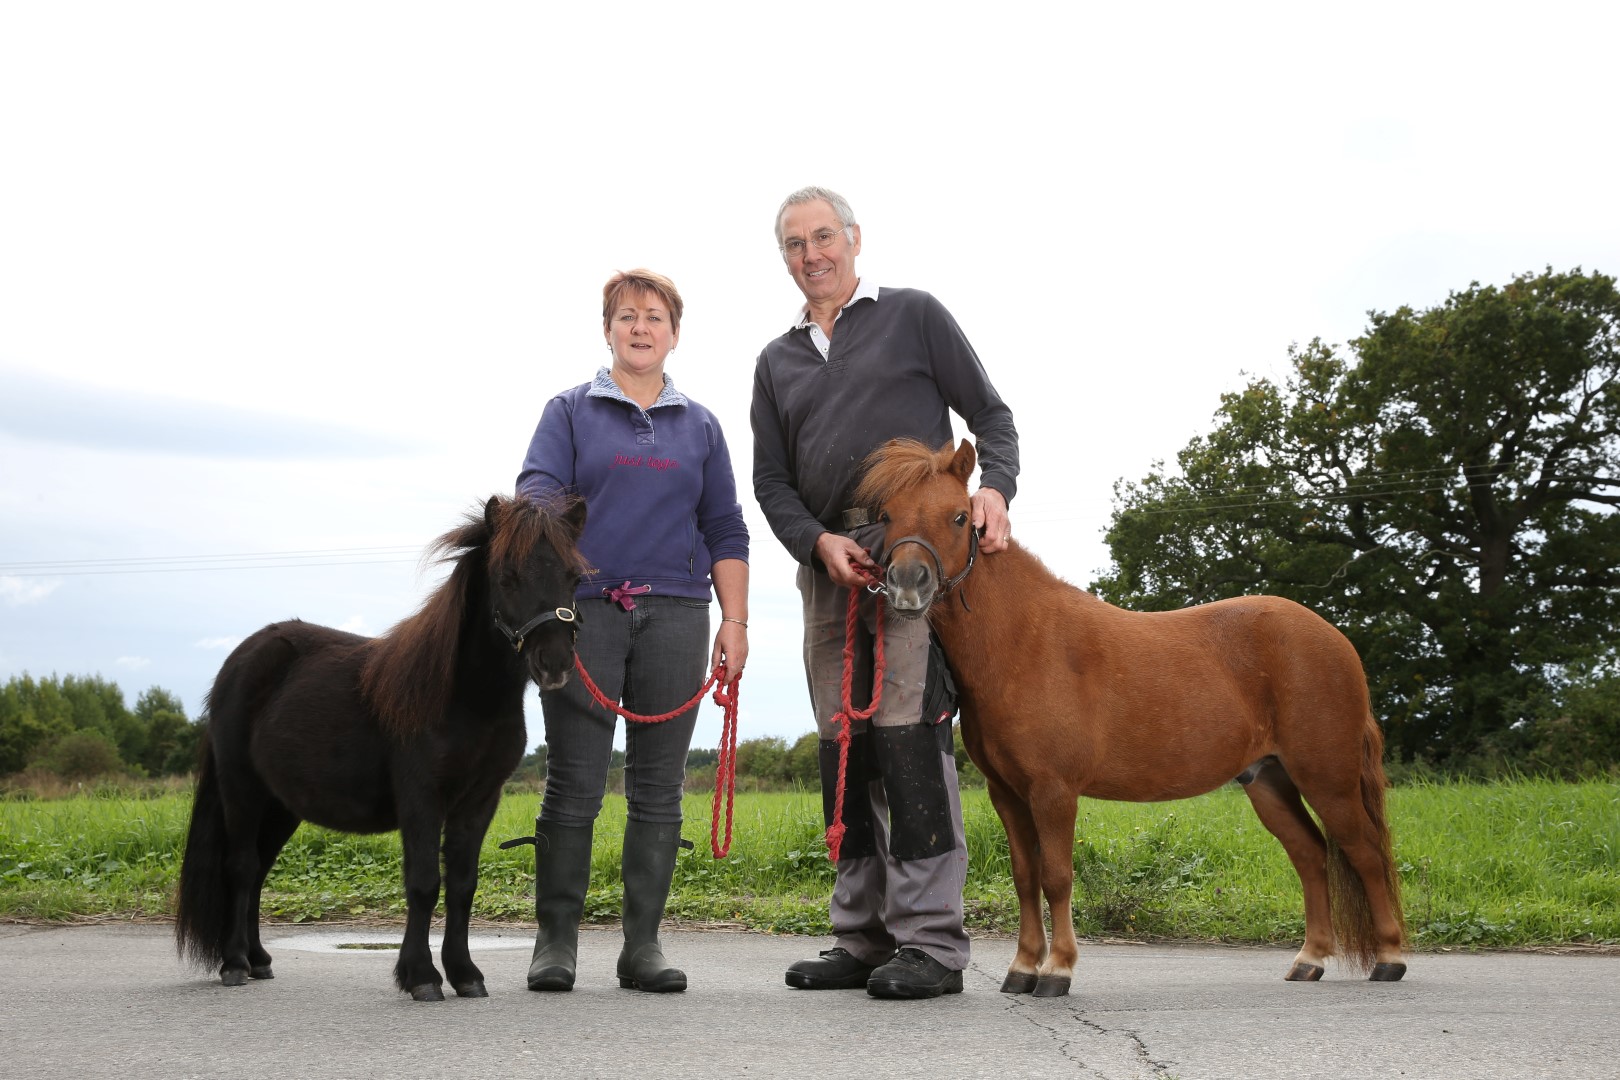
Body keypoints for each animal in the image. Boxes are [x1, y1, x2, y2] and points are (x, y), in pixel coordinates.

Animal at [175, 494, 588, 1001]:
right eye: (507, 576)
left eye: (573, 577)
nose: (555, 663)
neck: (465, 697)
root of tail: (242, 658)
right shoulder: (421, 798)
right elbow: (424, 883)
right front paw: (421, 976)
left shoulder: (479, 801)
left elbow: (462, 885)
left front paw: (465, 973)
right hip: (241, 790)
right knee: (240, 866)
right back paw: (234, 963)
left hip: (281, 805)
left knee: (257, 872)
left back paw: (258, 960)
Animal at [855, 438, 1407, 997]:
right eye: (886, 516)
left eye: (960, 516)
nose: (907, 585)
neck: (1023, 641)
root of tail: (1336, 640)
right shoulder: (1006, 792)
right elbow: (1025, 876)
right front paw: (1023, 967)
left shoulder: (1054, 790)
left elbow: (1057, 876)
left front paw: (1057, 970)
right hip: (1268, 780)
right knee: (1311, 855)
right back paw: (1310, 960)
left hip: (1327, 778)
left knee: (1363, 852)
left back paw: (1389, 958)